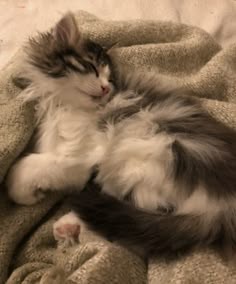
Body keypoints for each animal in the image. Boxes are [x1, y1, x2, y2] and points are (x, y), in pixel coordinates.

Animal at [6, 12, 236, 258]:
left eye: (110, 79)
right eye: (93, 68)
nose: (106, 88)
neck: (69, 105)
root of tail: (225, 203)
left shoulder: (78, 157)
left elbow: (28, 165)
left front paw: (20, 193)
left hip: (146, 154)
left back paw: (72, 227)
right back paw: (69, 227)